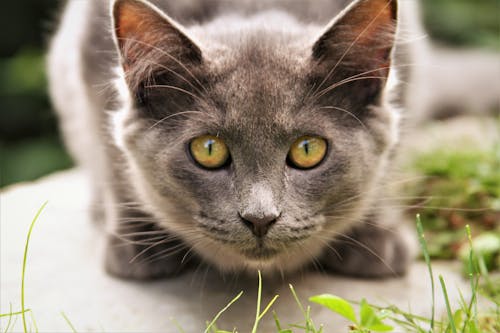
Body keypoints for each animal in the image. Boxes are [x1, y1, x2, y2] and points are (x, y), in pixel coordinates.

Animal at [47, 0, 414, 278]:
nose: (260, 219)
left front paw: (375, 237)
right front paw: (138, 247)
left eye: (308, 149)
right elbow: (109, 154)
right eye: (209, 150)